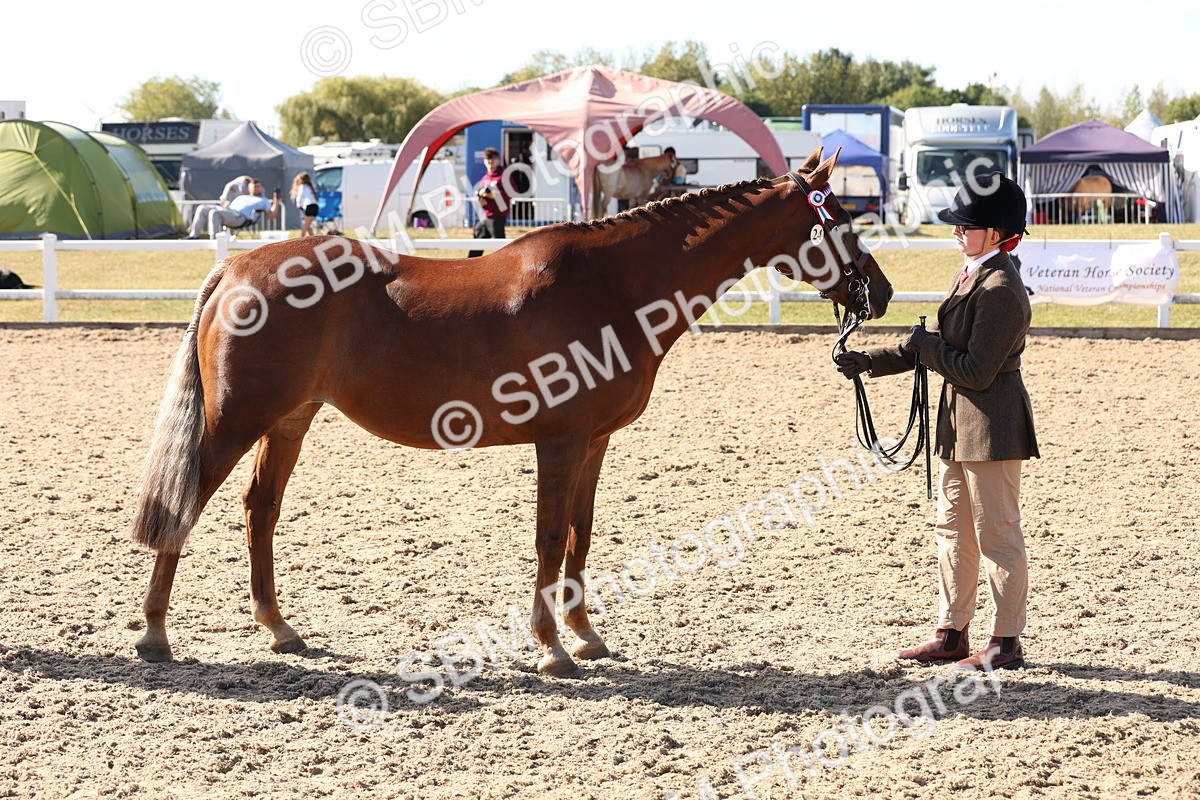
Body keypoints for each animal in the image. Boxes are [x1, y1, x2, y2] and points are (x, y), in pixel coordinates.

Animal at [129, 147, 893, 677]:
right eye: (839, 221)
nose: (880, 293)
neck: (615, 286)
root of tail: (236, 268)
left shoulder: (594, 443)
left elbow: (582, 535)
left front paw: (586, 636)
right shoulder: (559, 440)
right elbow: (550, 539)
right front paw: (551, 649)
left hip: (290, 419)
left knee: (260, 509)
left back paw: (279, 629)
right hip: (236, 422)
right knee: (185, 505)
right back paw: (155, 635)